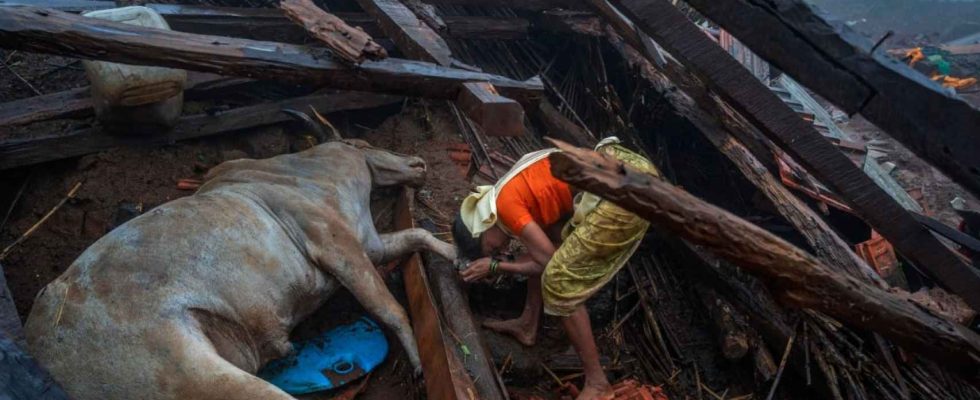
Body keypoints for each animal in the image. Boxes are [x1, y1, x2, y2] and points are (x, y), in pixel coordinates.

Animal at [23, 139, 456, 398]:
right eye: (368, 143)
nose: (419, 162)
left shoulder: (369, 245)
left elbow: (418, 235)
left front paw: (454, 253)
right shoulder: (336, 244)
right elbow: (390, 309)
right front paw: (419, 361)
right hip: (195, 375)